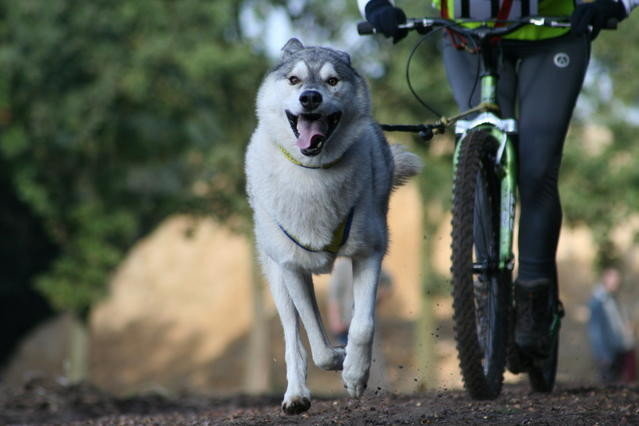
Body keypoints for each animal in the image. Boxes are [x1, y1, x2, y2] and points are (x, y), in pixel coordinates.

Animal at [248, 39, 422, 412]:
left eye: (332, 81)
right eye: (295, 79)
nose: (310, 97)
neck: (314, 175)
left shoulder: (369, 253)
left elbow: (363, 325)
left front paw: (355, 373)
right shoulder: (293, 269)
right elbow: (316, 340)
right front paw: (338, 359)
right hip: (275, 276)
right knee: (292, 338)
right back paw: (296, 395)